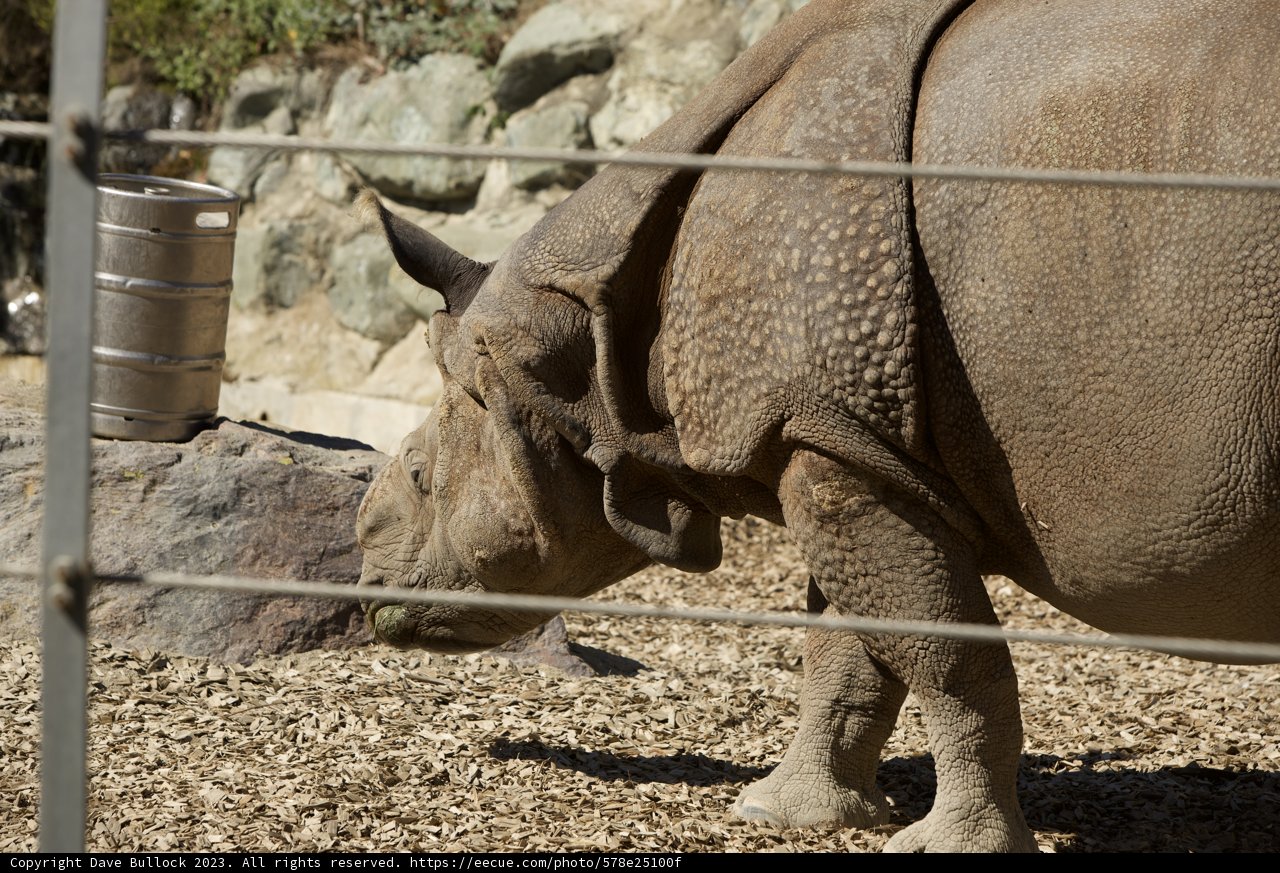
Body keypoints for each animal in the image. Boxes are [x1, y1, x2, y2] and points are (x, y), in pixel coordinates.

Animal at [354, 0, 1280, 852]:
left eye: (419, 475)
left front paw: (950, 846)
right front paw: (784, 813)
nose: (364, 583)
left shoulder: (832, 432)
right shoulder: (836, 440)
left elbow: (942, 652)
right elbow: (847, 646)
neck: (584, 336)